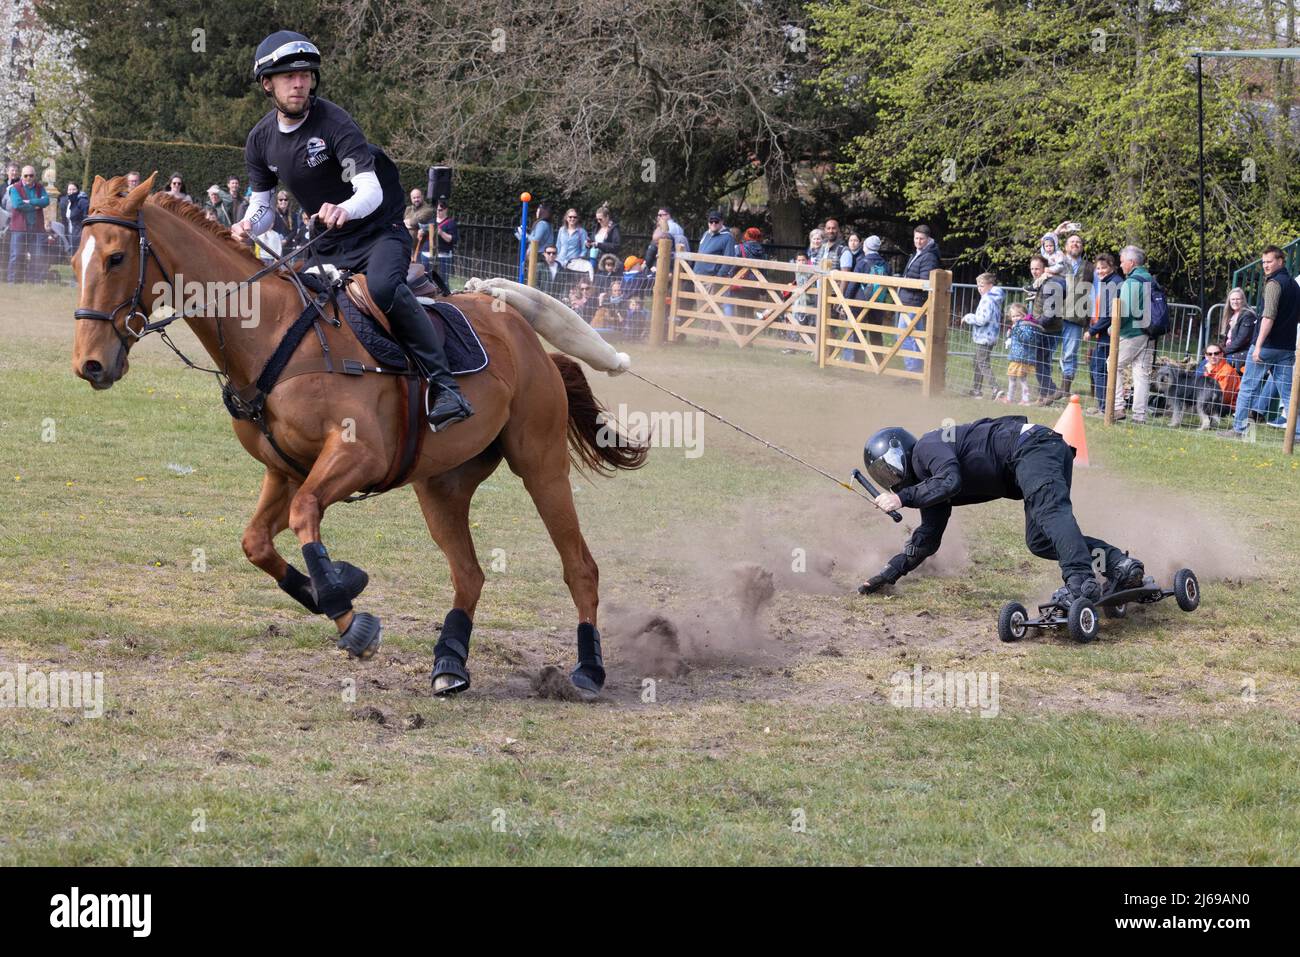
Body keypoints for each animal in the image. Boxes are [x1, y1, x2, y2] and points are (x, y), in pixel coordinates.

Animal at [69, 173, 646, 699]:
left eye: (116, 259)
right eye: (77, 262)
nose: (89, 364)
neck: (272, 335)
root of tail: (525, 335)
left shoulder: (358, 457)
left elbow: (304, 516)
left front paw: (345, 605)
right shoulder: (285, 470)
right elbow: (258, 542)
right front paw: (338, 596)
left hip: (540, 465)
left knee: (580, 568)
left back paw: (587, 669)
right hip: (442, 485)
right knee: (469, 574)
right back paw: (449, 662)